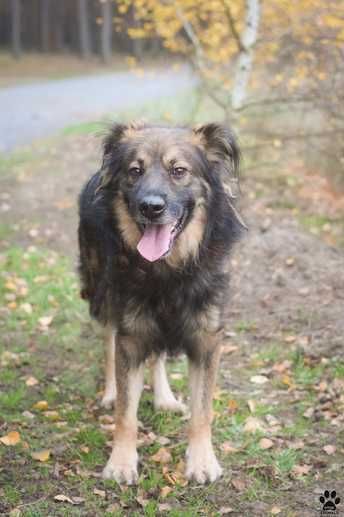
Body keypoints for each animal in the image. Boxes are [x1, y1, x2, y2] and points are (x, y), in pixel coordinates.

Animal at [78, 121, 245, 484]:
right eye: (134, 171)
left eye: (179, 171)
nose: (150, 207)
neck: (168, 270)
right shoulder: (131, 335)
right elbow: (126, 413)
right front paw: (121, 462)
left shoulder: (207, 339)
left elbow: (202, 410)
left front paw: (202, 461)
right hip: (103, 294)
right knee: (109, 342)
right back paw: (110, 392)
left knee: (157, 356)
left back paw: (164, 397)